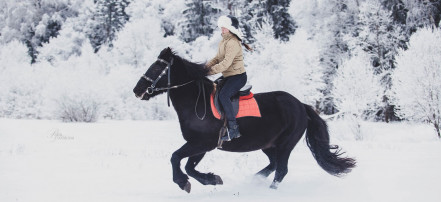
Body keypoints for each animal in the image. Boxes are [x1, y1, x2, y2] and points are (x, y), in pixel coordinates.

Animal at [133, 47, 354, 193]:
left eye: (156, 68)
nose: (137, 90)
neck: (196, 102)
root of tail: (301, 105)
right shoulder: (201, 145)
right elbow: (188, 165)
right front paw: (212, 179)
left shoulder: (203, 143)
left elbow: (176, 158)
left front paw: (182, 182)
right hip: (269, 145)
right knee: (274, 165)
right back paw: (253, 180)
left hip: (286, 144)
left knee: (281, 170)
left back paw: (268, 191)